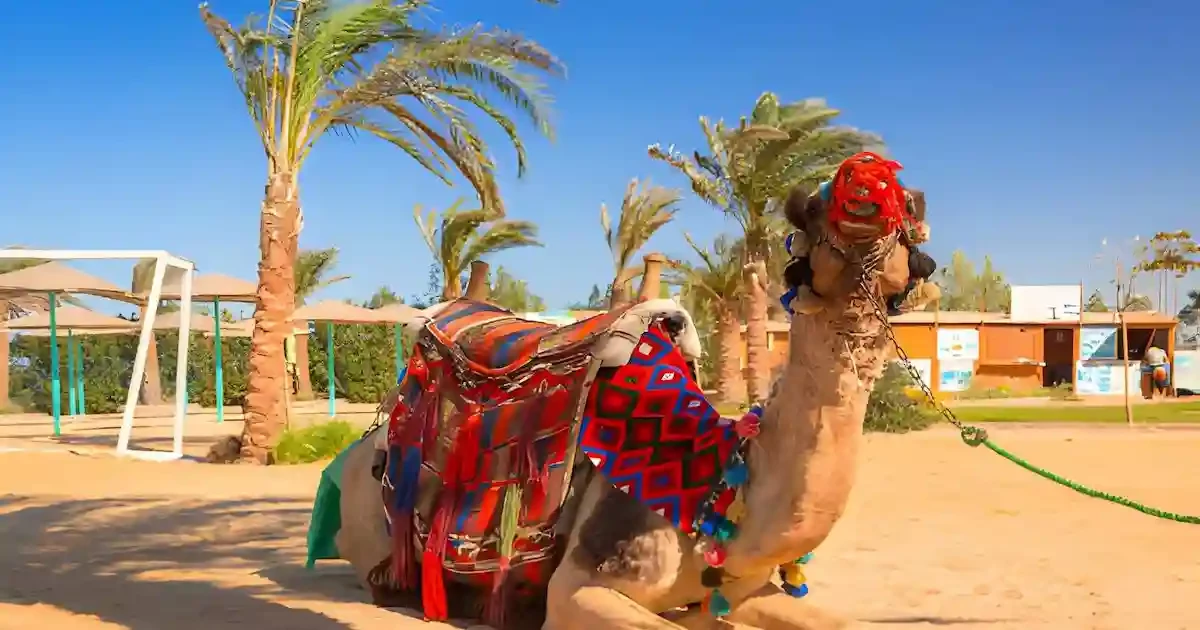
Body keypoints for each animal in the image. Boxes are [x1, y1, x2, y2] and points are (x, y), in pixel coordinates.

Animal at [331, 153, 924, 629]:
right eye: (813, 211)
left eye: (910, 213)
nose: (868, 184)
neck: (715, 487)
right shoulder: (577, 586)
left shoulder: (747, 589)